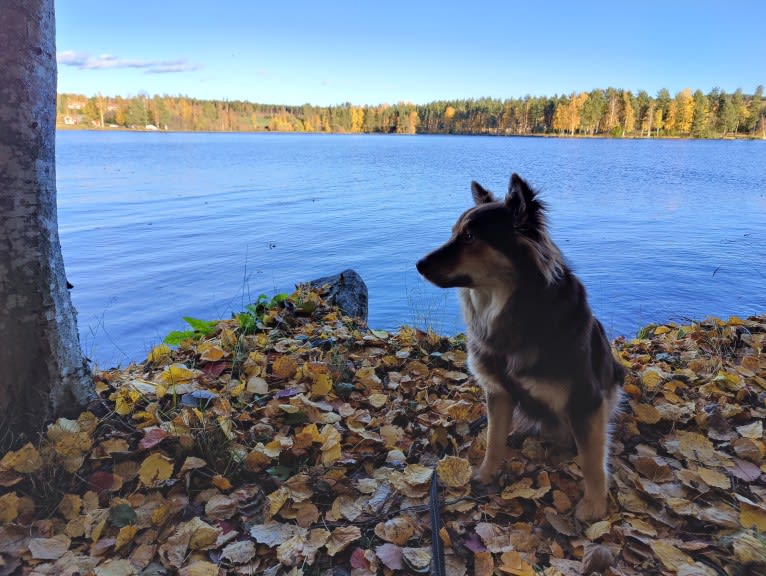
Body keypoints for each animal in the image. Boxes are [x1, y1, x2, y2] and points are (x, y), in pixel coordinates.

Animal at [416, 173, 628, 520]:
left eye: (469, 236)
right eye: (454, 232)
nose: (418, 264)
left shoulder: (587, 400)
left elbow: (593, 460)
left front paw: (594, 506)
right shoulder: (498, 392)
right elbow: (493, 440)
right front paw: (487, 474)